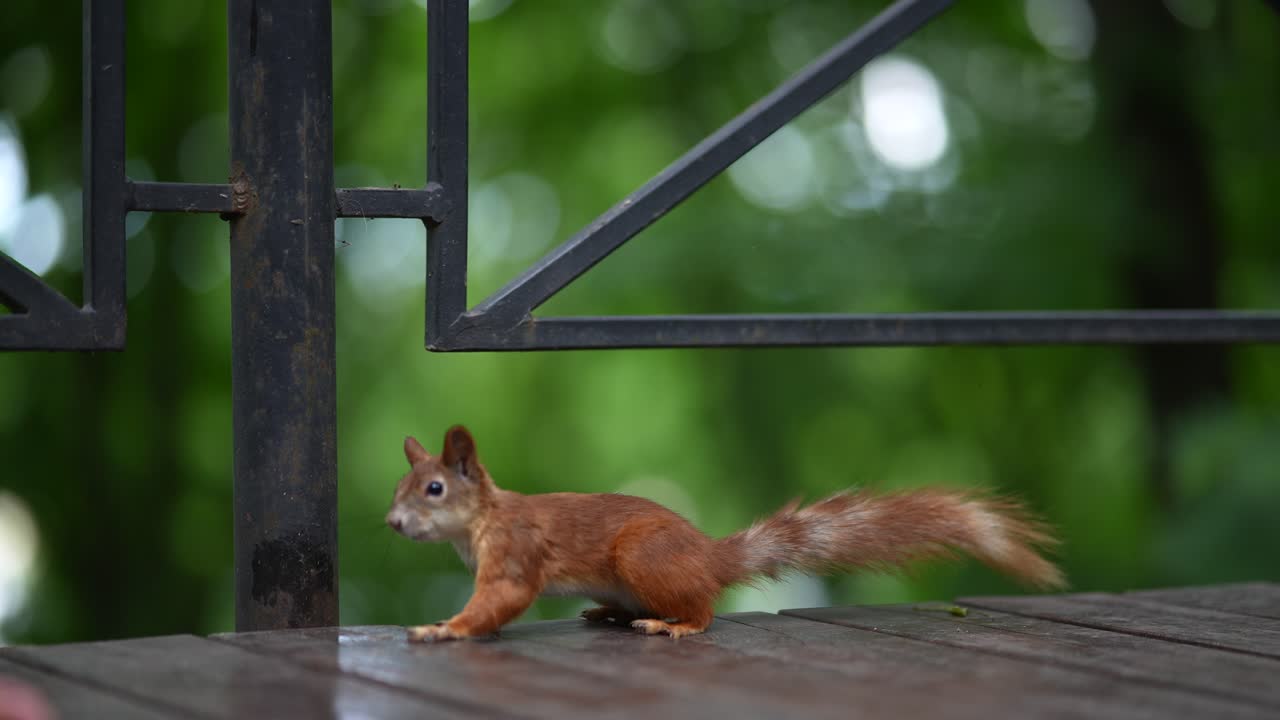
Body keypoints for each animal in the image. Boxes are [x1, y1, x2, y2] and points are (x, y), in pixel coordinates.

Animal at [386, 425, 1064, 642]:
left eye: (434, 489)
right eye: (401, 484)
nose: (392, 523)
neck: (482, 519)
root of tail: (709, 557)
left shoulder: (515, 553)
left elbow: (501, 599)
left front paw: (443, 629)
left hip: (644, 557)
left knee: (705, 609)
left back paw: (674, 624)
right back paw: (610, 612)